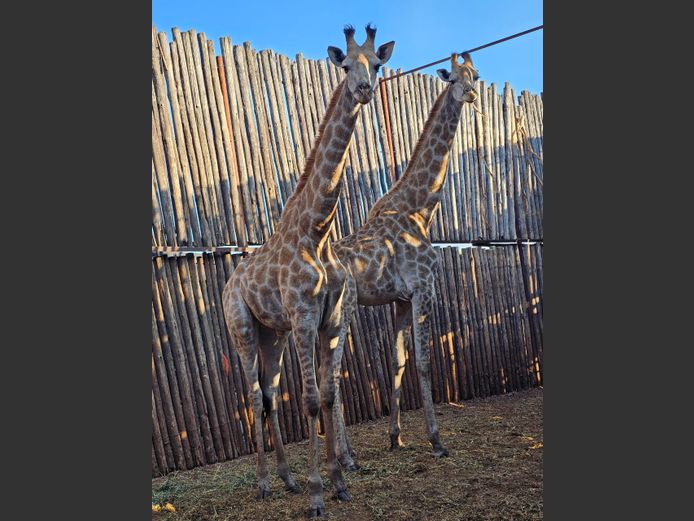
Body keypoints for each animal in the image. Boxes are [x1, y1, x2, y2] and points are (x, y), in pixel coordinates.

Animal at [222, 25, 394, 518]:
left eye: (378, 64)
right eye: (345, 64)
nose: (364, 89)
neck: (317, 231)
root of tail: (229, 282)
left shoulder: (330, 320)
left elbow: (331, 396)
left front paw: (338, 484)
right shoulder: (302, 317)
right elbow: (313, 400)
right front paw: (320, 494)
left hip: (272, 334)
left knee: (268, 395)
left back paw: (287, 478)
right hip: (243, 328)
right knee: (251, 395)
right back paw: (264, 483)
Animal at [329, 53, 480, 467]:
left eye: (476, 75)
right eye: (452, 78)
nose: (471, 93)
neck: (420, 208)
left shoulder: (398, 299)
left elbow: (397, 362)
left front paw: (395, 436)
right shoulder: (423, 288)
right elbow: (425, 362)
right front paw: (436, 440)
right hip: (343, 312)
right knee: (330, 374)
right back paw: (347, 458)